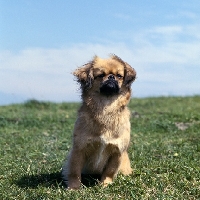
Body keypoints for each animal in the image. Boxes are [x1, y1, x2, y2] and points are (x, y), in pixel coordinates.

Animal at [61, 54, 136, 189]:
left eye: (119, 76)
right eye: (101, 75)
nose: (111, 77)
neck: (105, 108)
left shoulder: (117, 152)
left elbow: (109, 171)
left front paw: (105, 184)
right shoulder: (79, 149)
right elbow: (74, 171)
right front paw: (74, 187)